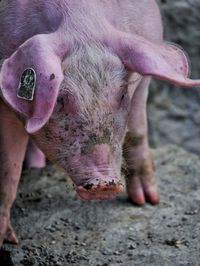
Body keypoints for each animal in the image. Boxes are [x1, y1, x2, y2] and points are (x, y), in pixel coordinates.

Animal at [0, 0, 200, 246]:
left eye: (122, 94)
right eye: (60, 99)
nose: (104, 184)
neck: (80, 22)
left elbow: (138, 130)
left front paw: (147, 201)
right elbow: (8, 167)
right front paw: (8, 239)